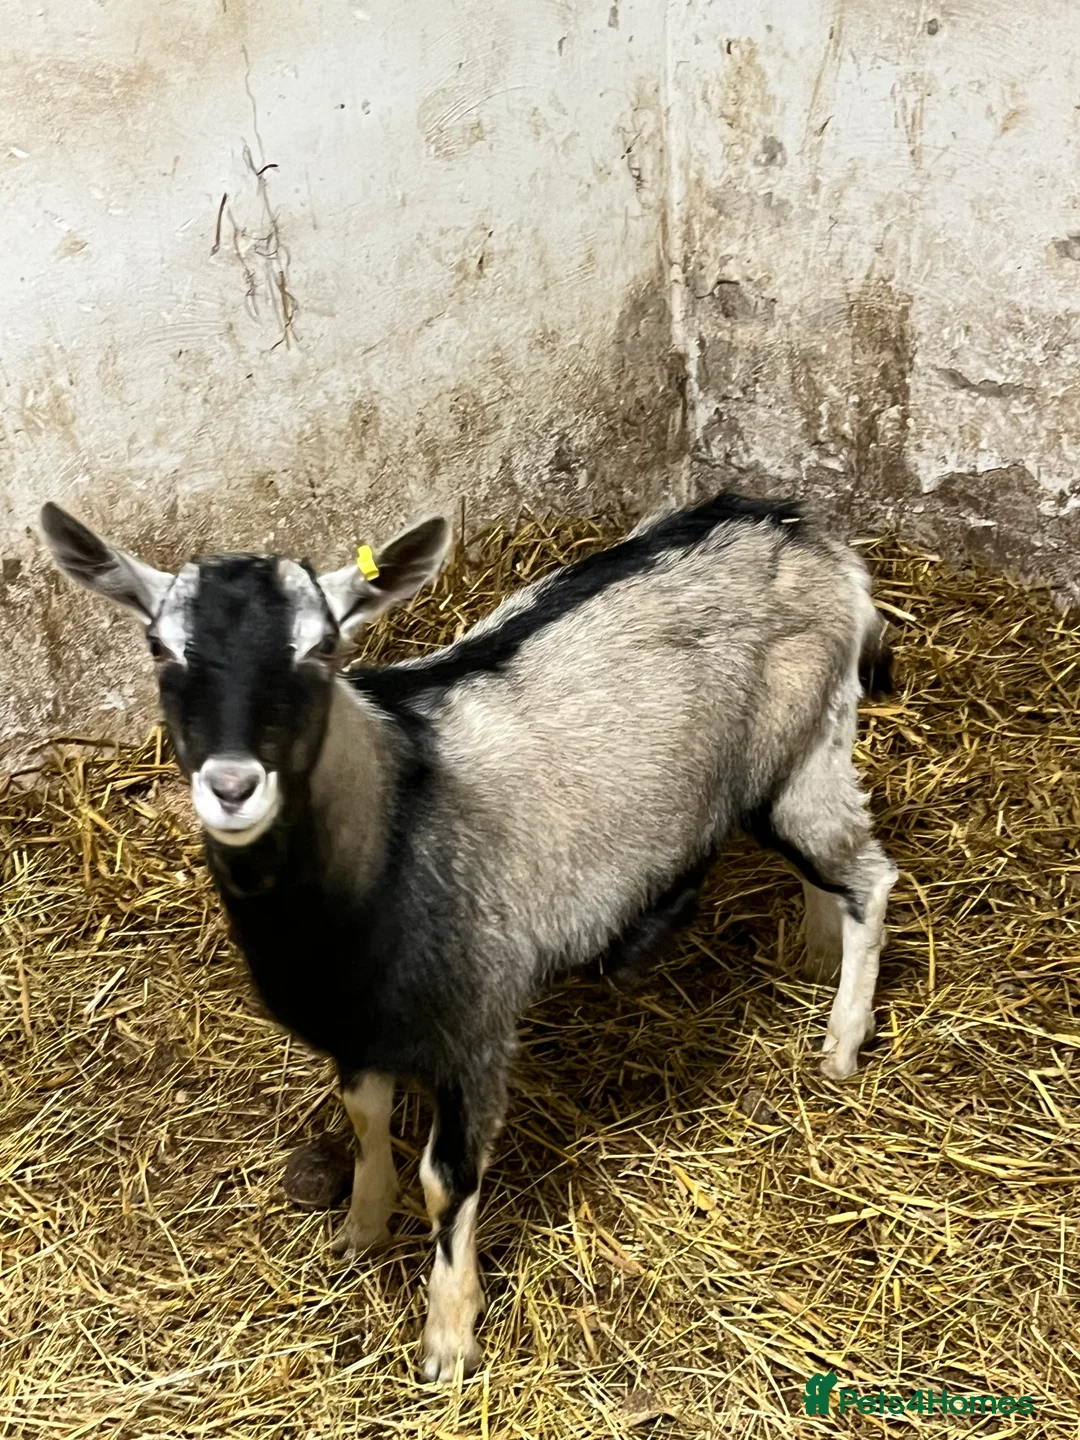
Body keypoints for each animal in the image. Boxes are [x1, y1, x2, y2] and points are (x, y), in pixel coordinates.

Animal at [41, 492, 897, 1380]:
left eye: (321, 648)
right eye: (161, 647)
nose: (234, 786)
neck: (388, 826)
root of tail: (807, 533)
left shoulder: (474, 1024)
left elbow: (446, 1180)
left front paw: (449, 1340)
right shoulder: (359, 1020)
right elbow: (364, 1118)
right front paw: (359, 1230)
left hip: (807, 744)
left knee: (869, 879)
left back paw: (841, 1043)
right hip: (793, 764)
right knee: (831, 872)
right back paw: (810, 954)